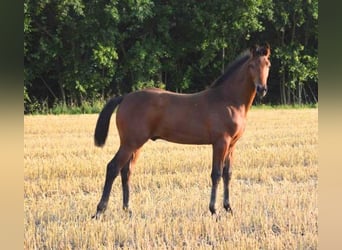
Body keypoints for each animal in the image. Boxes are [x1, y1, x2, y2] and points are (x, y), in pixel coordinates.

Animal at [92, 43, 272, 219]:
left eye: (267, 65)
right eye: (251, 65)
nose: (262, 89)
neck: (228, 100)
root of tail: (125, 97)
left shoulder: (232, 145)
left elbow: (228, 174)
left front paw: (228, 208)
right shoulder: (221, 142)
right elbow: (216, 174)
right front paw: (214, 210)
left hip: (136, 145)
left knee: (126, 171)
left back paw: (128, 210)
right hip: (130, 143)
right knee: (113, 168)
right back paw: (100, 211)